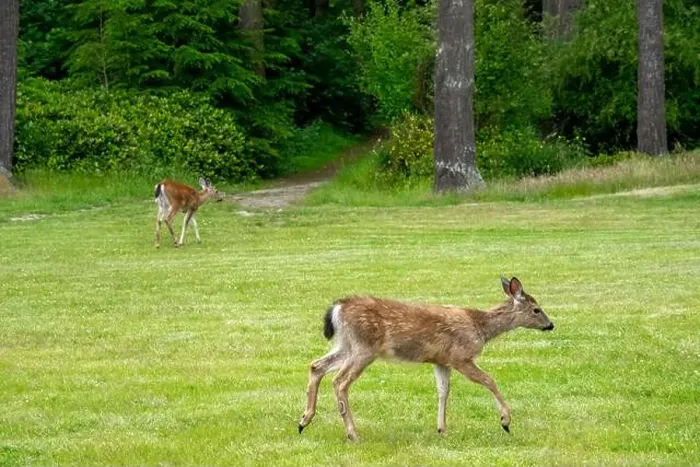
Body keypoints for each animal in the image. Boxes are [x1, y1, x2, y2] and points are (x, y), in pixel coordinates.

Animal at [298, 276, 554, 441]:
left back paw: (303, 421)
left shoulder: (441, 360)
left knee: (316, 366)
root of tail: (337, 308)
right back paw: (352, 433)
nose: (551, 325)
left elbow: (443, 391)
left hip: (347, 344)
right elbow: (489, 380)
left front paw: (442, 429)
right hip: (364, 347)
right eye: (536, 309)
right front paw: (505, 421)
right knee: (339, 381)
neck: (480, 328)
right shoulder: (461, 356)